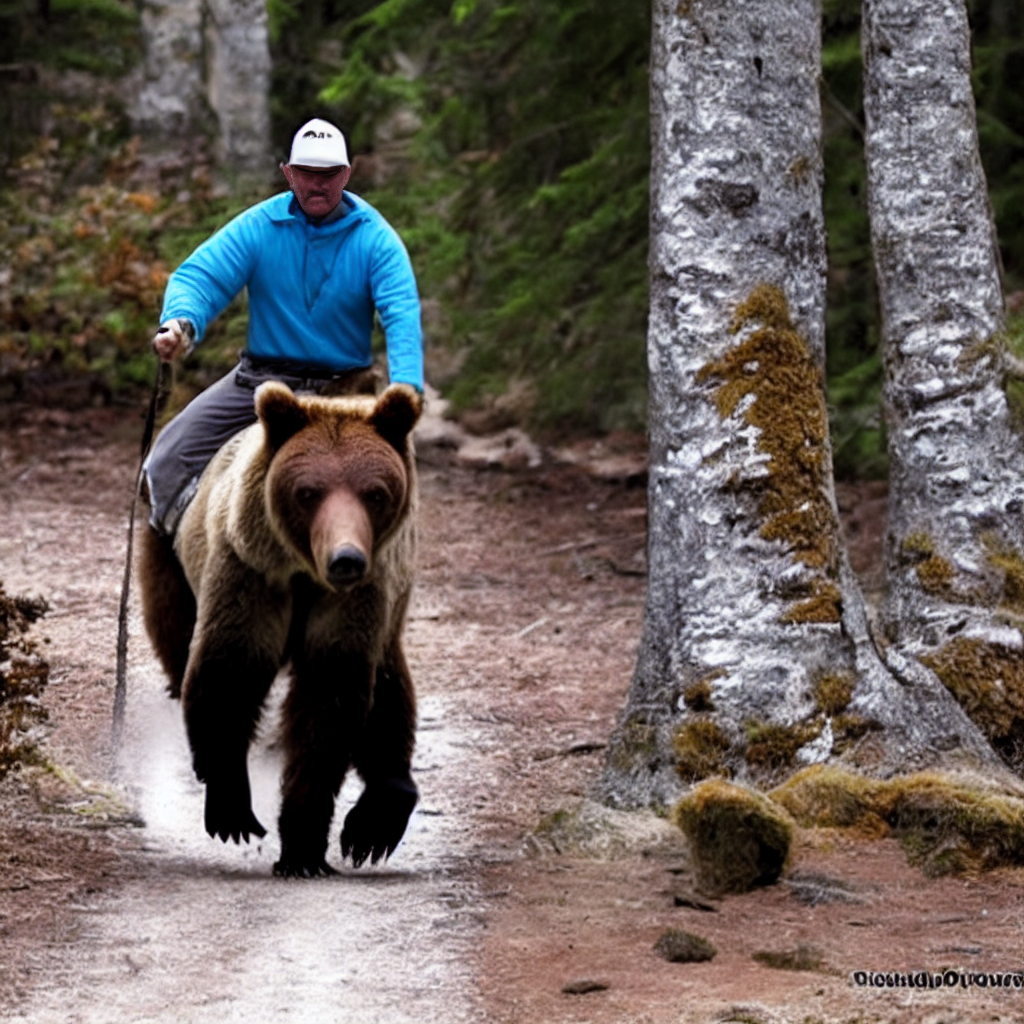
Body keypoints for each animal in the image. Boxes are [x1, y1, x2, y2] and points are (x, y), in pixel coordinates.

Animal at [138, 380, 421, 876]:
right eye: (308, 491)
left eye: (375, 493)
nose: (346, 558)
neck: (305, 574)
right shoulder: (250, 571)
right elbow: (229, 670)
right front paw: (233, 809)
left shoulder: (353, 602)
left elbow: (328, 701)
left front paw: (304, 846)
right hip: (173, 556)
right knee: (173, 627)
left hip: (390, 598)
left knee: (389, 687)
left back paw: (378, 817)